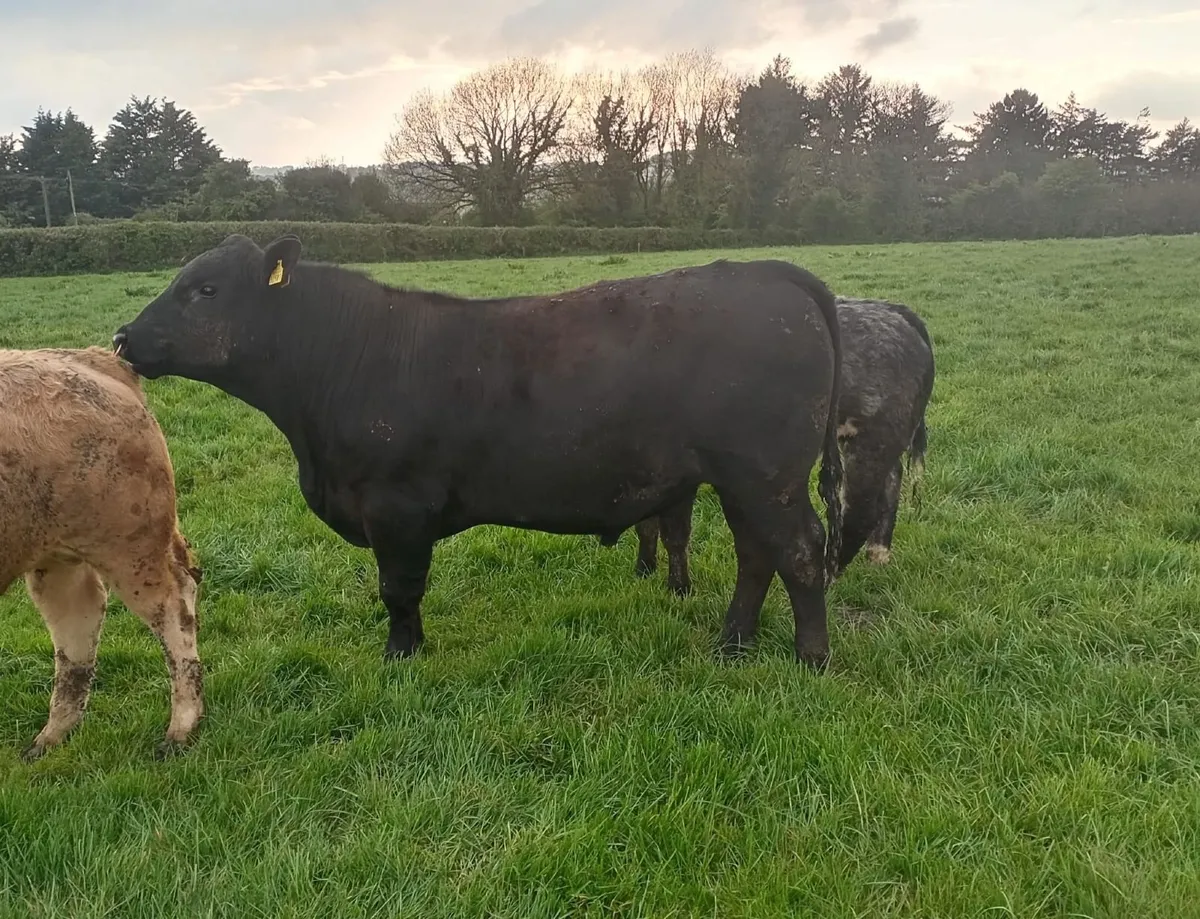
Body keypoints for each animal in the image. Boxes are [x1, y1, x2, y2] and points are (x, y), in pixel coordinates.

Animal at [1, 346, 204, 760]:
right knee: (78, 626)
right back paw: (50, 737)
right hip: (57, 555)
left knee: (173, 606)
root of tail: (94, 358)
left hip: (128, 545)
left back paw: (180, 729)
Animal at [111, 234, 844, 667]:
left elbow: (398, 588)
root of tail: (768, 272)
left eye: (206, 290)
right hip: (742, 479)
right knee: (757, 555)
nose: (122, 336)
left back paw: (811, 656)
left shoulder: (397, 507)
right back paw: (732, 643)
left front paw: (401, 655)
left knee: (800, 552)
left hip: (768, 475)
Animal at [629, 295, 935, 594]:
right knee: (892, 480)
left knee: (861, 510)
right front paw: (644, 569)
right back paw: (878, 554)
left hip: (871, 438)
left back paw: (827, 578)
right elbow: (646, 524)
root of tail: (894, 311)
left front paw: (679, 590)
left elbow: (675, 533)